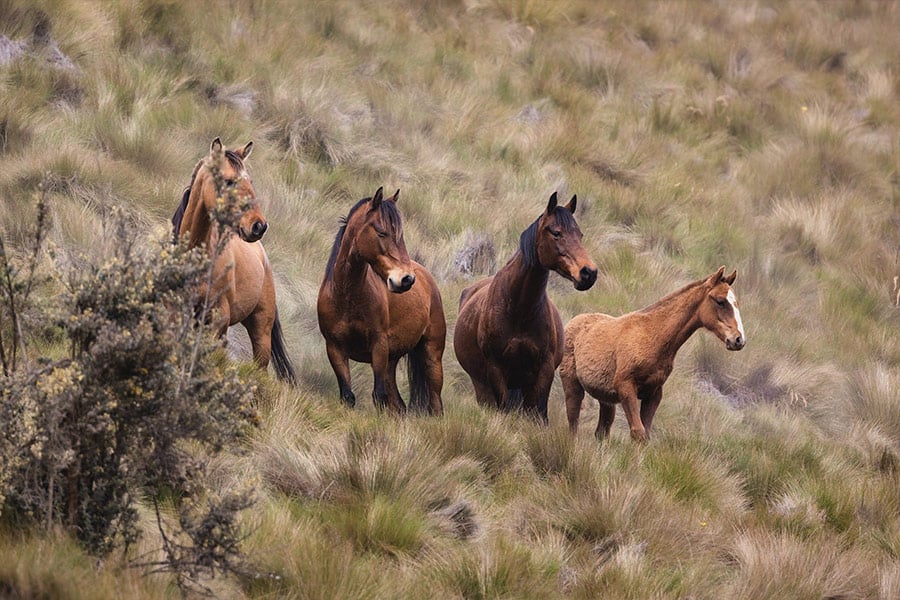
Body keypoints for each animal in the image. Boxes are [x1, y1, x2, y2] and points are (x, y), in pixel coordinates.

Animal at [316, 187, 446, 414]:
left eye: (400, 235)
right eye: (381, 232)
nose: (406, 279)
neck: (347, 297)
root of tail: (426, 277)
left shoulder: (379, 346)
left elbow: (378, 396)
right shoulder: (335, 349)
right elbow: (348, 396)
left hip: (432, 356)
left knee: (436, 403)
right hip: (390, 363)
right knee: (398, 405)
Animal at [453, 192, 598, 422]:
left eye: (580, 234)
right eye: (556, 232)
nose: (588, 273)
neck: (519, 310)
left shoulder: (543, 370)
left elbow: (536, 413)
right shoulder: (496, 369)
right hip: (482, 385)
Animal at [559, 266, 746, 442]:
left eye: (736, 302)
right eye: (720, 301)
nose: (738, 340)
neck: (653, 337)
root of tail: (573, 322)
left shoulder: (654, 393)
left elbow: (645, 434)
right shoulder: (626, 387)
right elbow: (638, 432)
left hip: (605, 398)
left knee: (601, 432)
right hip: (573, 386)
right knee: (573, 424)